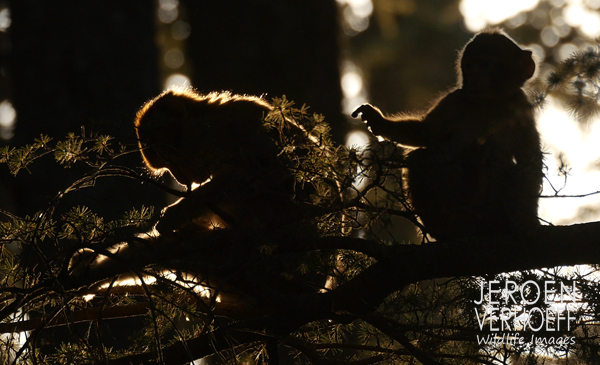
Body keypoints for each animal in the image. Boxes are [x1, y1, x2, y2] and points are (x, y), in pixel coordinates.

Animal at [352, 29, 544, 239]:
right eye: (469, 66)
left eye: (484, 65)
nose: (474, 79)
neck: (489, 104)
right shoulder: (454, 101)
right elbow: (425, 133)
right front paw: (378, 121)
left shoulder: (521, 108)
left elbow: (529, 160)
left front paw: (528, 219)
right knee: (422, 157)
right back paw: (447, 227)